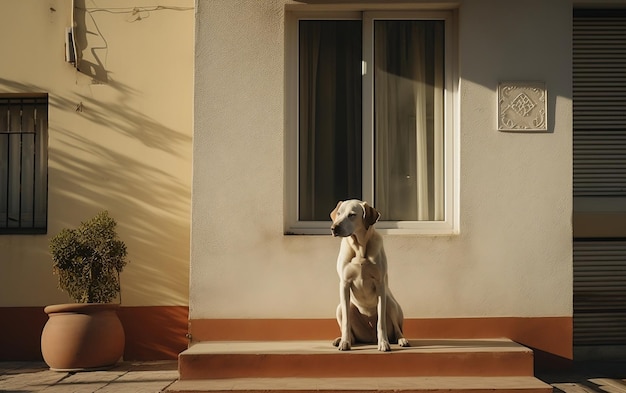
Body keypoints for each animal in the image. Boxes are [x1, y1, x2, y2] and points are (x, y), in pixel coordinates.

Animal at [326, 199, 410, 352]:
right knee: (350, 329)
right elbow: (346, 321)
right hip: (339, 308)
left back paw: (402, 340)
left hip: (391, 304)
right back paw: (342, 339)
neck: (359, 249)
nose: (334, 228)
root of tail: (370, 337)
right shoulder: (344, 284)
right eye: (339, 214)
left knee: (397, 330)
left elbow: (381, 322)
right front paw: (344, 342)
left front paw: (383, 343)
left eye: (352, 215)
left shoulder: (380, 285)